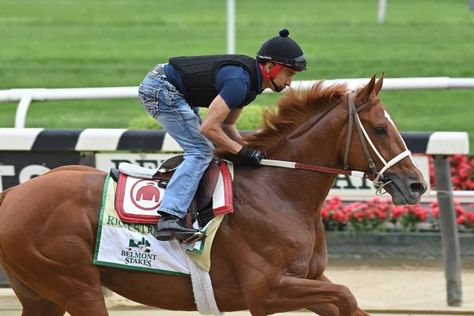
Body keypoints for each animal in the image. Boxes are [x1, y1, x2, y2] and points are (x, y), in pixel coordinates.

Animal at [0, 75, 426, 314]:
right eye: (381, 128)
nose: (416, 184)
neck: (279, 192)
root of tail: (13, 195)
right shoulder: (267, 290)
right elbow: (346, 295)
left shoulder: (308, 281)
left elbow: (346, 301)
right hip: (73, 284)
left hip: (41, 295)